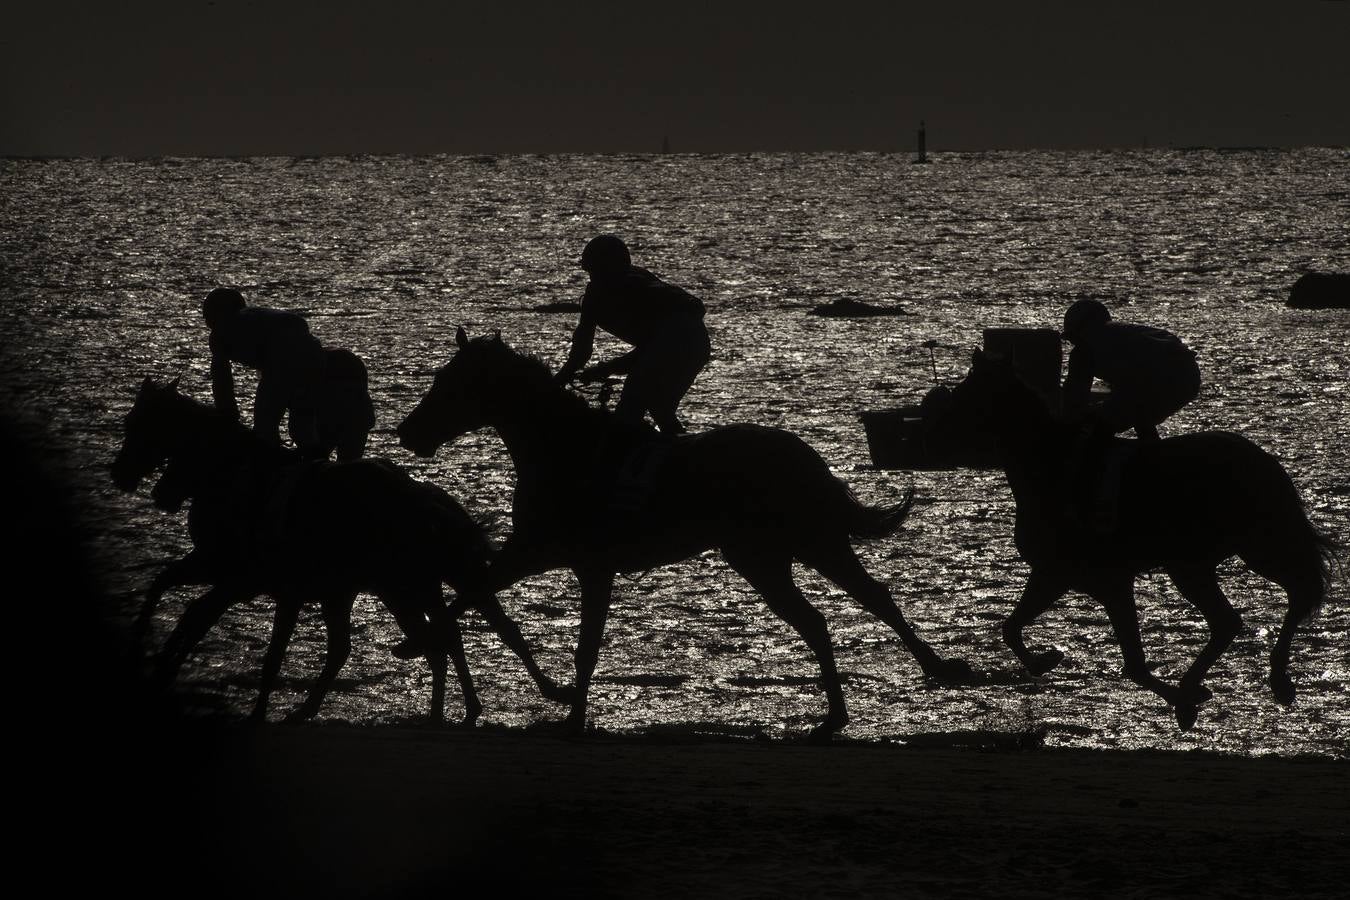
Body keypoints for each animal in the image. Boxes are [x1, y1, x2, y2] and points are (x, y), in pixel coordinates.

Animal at [110, 377, 564, 723]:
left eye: (137, 423)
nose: (121, 475)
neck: (239, 479)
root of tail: (427, 498)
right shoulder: (235, 574)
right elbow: (170, 589)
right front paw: (152, 659)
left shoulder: (251, 581)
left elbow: (242, 637)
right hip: (404, 587)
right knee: (444, 634)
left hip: (403, 588)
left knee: (441, 637)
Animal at [394, 327, 972, 744]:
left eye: (450, 382)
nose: (407, 432)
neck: (567, 451)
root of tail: (805, 456)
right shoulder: (546, 555)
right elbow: (484, 595)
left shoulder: (571, 560)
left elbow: (564, 636)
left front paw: (571, 716)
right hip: (777, 553)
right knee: (839, 610)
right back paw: (858, 705)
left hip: (799, 545)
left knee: (855, 606)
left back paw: (914, 679)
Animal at [934, 348, 1333, 728]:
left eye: (965, 390)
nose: (935, 418)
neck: (1050, 469)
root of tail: (1264, 460)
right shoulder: (1055, 575)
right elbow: (1011, 627)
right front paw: (1045, 659)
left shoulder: (1108, 581)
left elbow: (1135, 665)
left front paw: (1184, 703)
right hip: (1206, 560)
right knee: (1238, 617)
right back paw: (1244, 680)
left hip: (1242, 549)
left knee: (1286, 597)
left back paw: (1269, 680)